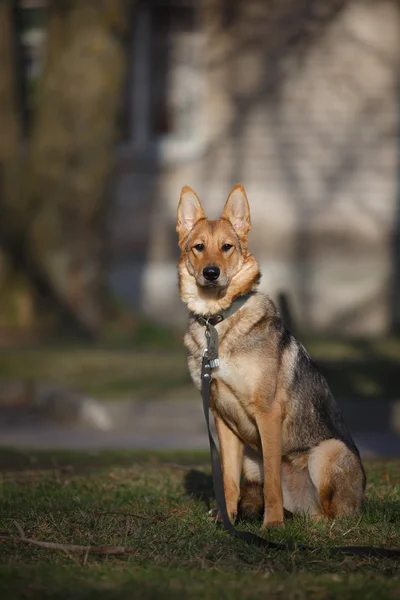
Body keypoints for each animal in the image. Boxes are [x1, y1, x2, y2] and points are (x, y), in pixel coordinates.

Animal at [177, 185, 368, 528]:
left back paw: (300, 523)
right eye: (199, 247)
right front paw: (226, 520)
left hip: (327, 452)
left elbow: (273, 486)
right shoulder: (222, 420)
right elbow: (228, 481)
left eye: (226, 247)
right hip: (252, 462)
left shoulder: (267, 413)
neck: (217, 322)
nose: (211, 273)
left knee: (331, 516)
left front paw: (272, 525)